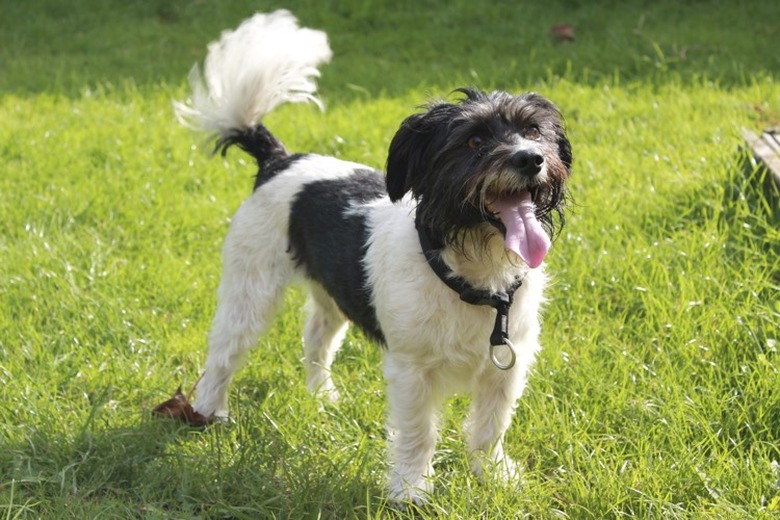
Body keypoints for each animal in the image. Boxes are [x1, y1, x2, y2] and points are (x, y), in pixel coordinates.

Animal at [174, 9, 568, 504]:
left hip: (331, 294)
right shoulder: (411, 371)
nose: (531, 158)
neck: (473, 274)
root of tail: (279, 158)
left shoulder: (507, 366)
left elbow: (490, 428)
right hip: (251, 289)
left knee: (317, 337)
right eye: (474, 141)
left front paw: (493, 477)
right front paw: (411, 491)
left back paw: (322, 397)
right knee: (225, 349)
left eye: (534, 130)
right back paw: (209, 412)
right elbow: (419, 433)